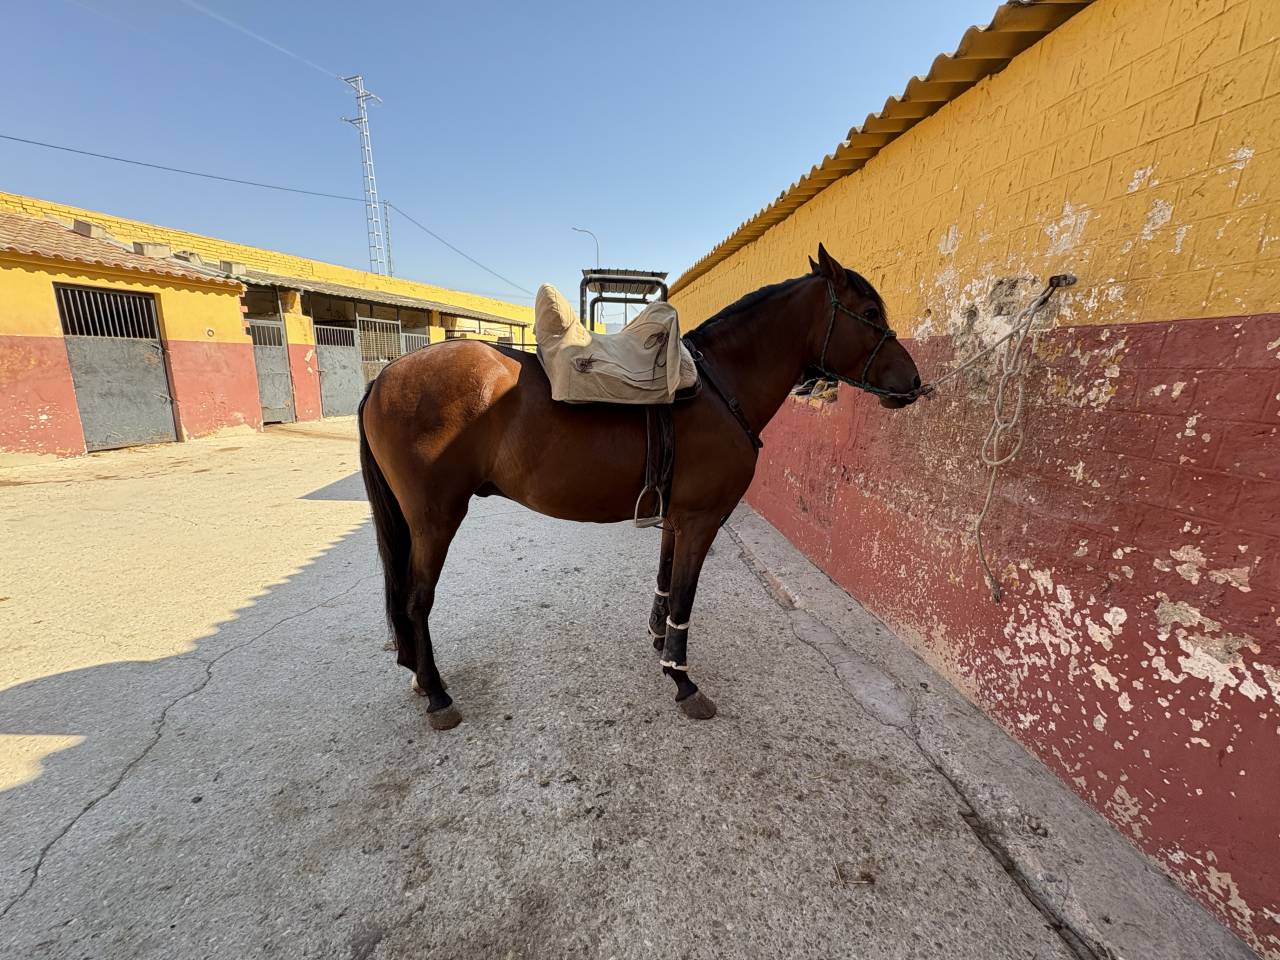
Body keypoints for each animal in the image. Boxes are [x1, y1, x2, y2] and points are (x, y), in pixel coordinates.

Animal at [358, 244, 922, 729]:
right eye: (870, 312)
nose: (915, 383)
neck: (717, 386)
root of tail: (385, 376)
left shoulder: (676, 518)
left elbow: (667, 584)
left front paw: (659, 645)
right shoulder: (701, 521)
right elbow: (685, 596)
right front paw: (683, 681)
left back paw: (417, 675)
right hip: (435, 519)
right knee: (416, 600)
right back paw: (436, 693)